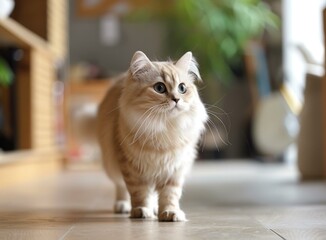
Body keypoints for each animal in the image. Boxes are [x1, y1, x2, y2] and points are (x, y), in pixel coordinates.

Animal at [97, 50, 209, 221]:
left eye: (182, 88)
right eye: (160, 88)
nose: (176, 99)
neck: (164, 128)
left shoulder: (174, 169)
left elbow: (170, 195)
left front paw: (170, 213)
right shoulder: (132, 169)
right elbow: (139, 194)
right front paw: (141, 211)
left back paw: (155, 209)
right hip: (112, 166)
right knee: (120, 187)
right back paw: (123, 206)